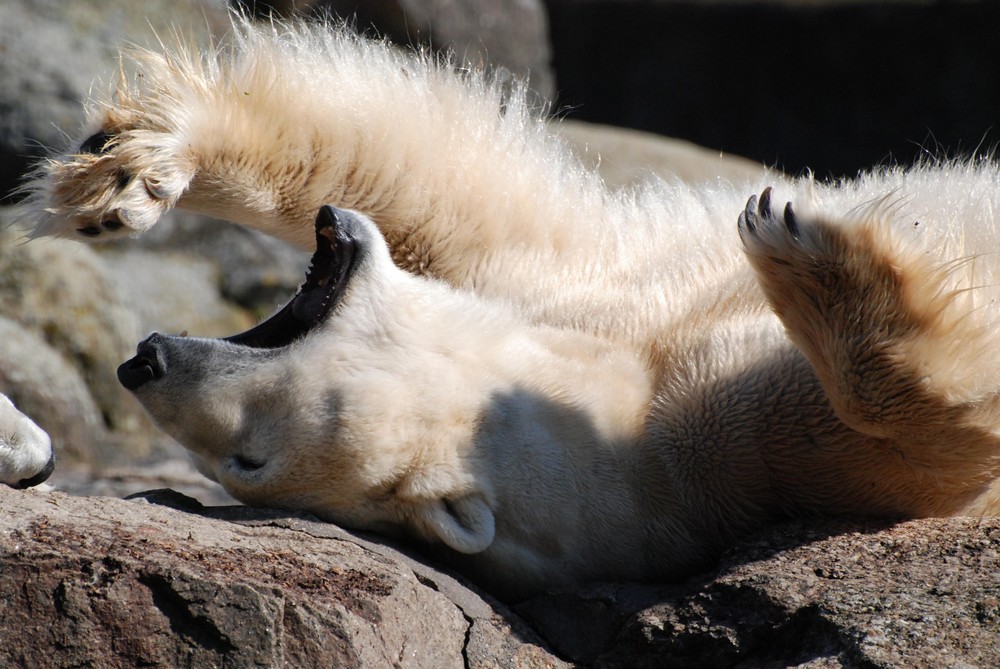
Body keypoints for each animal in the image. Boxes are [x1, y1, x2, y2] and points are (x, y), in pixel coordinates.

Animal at [17, 19, 1000, 596]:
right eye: (245, 460)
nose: (144, 360)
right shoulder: (702, 440)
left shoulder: (598, 329)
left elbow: (437, 189)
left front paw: (131, 170)